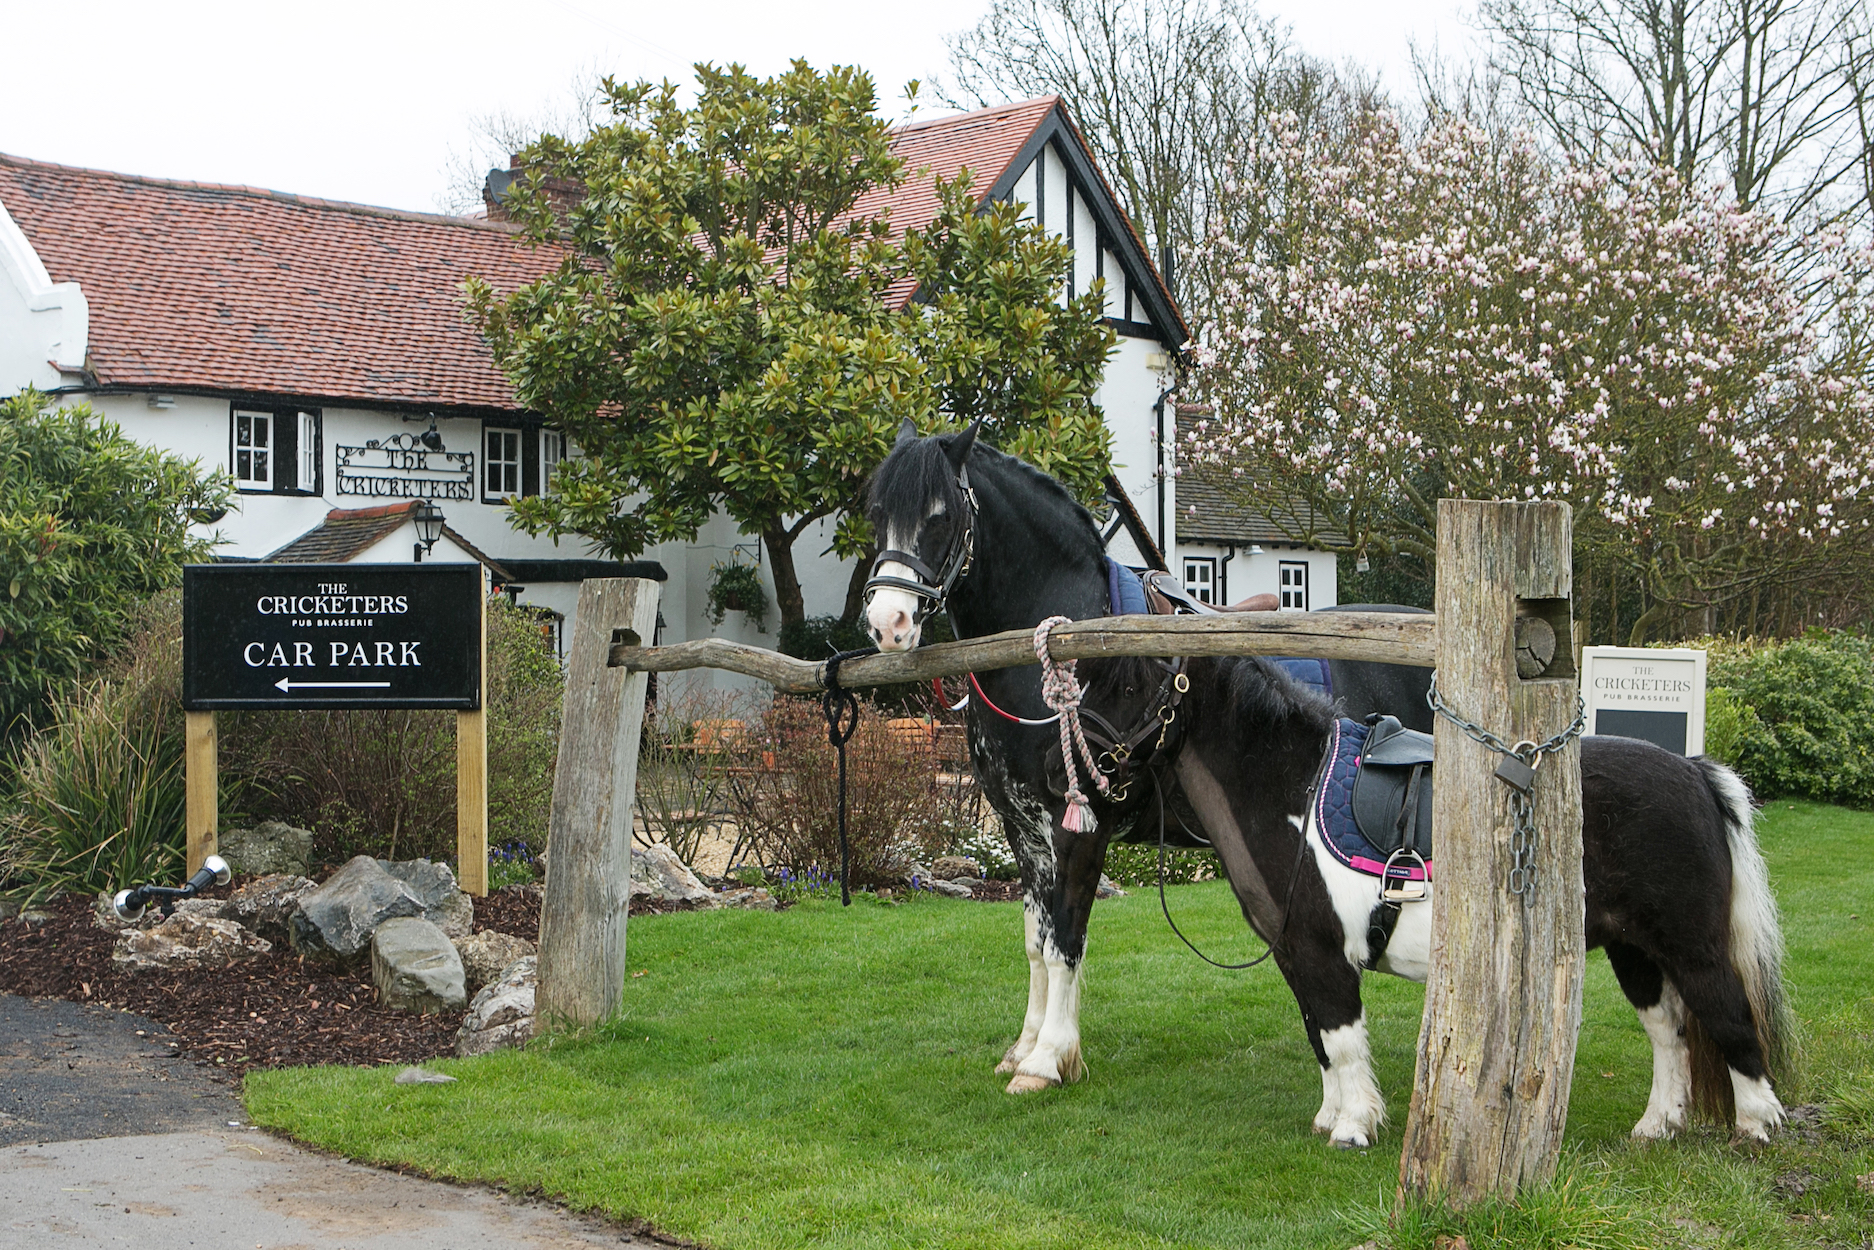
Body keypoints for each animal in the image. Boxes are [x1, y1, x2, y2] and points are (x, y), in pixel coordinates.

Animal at [862, 427, 1431, 1094]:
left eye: (941, 516)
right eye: (877, 513)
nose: (888, 622)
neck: (1073, 648)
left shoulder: (1078, 829)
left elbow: (1065, 941)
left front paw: (1046, 1059)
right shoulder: (1022, 832)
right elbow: (1035, 942)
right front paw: (1024, 1046)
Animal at [1094, 652, 1791, 1146]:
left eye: (1129, 689)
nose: (1084, 770)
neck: (1293, 788)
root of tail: (1694, 772)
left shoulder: (1322, 955)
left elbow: (1341, 1039)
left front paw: (1353, 1128)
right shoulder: (1297, 958)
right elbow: (1321, 1040)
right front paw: (1330, 1116)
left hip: (1692, 947)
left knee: (1730, 1016)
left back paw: (1758, 1125)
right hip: (1634, 949)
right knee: (1669, 1031)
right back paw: (1657, 1126)